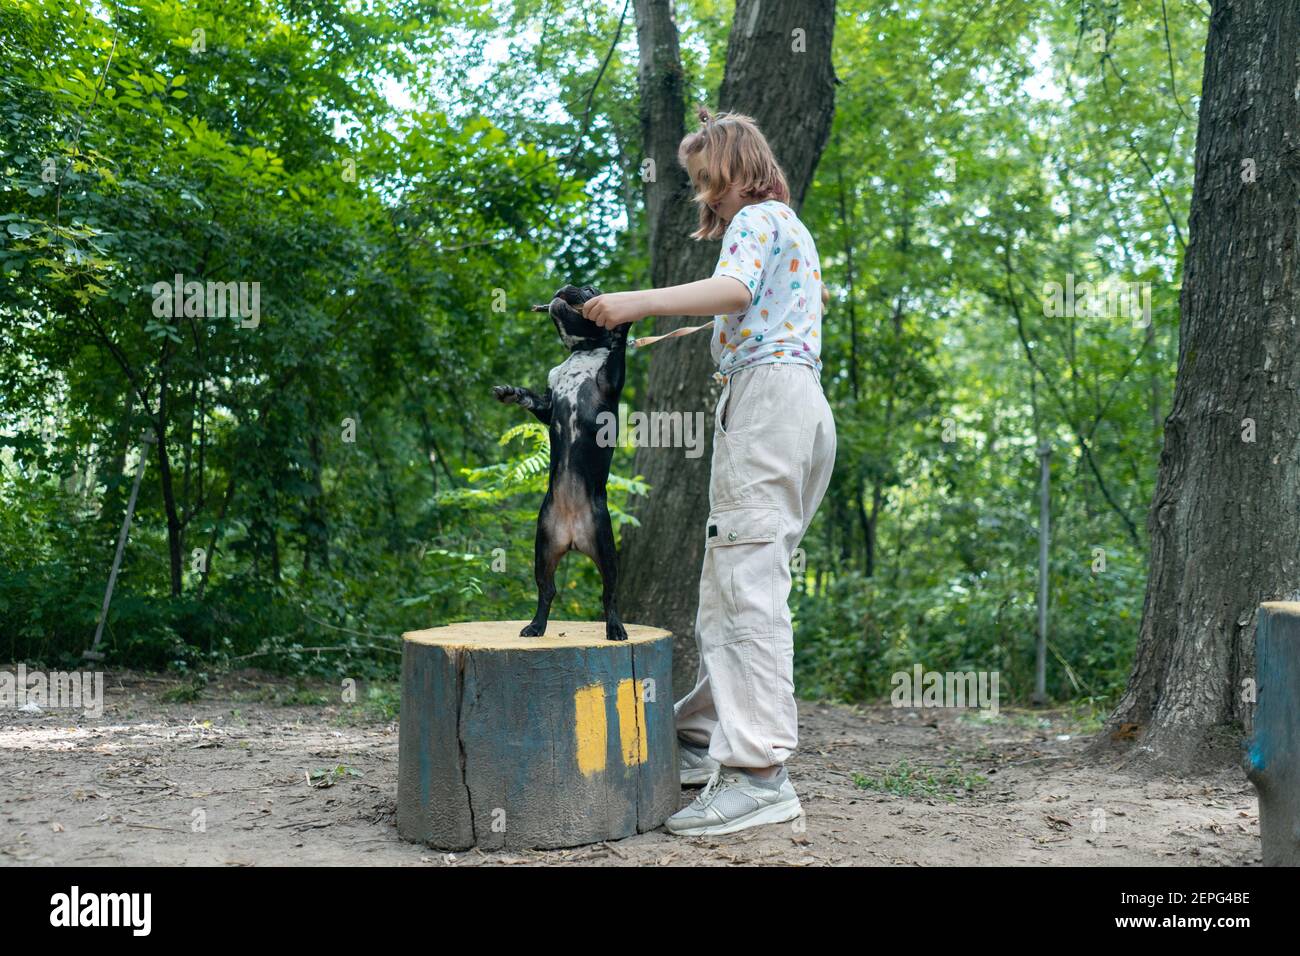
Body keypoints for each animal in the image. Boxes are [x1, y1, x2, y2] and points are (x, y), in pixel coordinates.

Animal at [491, 283, 629, 642]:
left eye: (590, 289)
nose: (568, 286)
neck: (582, 350)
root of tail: (573, 538)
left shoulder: (610, 382)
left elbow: (617, 354)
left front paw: (622, 327)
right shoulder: (549, 405)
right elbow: (535, 401)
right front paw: (512, 392)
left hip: (606, 548)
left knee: (610, 592)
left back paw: (615, 627)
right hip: (543, 547)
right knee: (547, 590)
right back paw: (536, 626)